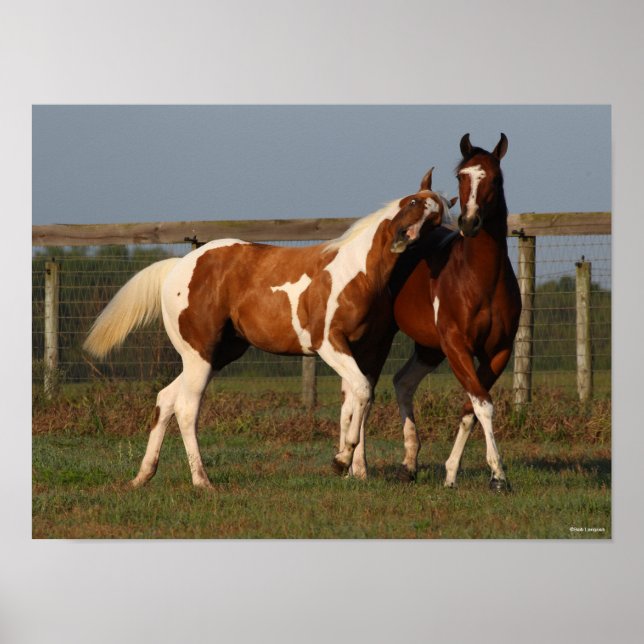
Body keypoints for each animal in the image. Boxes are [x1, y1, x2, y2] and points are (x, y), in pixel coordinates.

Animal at [83, 172, 451, 488]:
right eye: (412, 202)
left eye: (436, 221)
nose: (404, 238)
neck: (357, 273)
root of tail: (179, 266)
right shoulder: (328, 343)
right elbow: (360, 393)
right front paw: (341, 461)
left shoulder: (371, 350)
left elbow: (359, 400)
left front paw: (355, 470)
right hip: (200, 354)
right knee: (187, 408)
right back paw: (202, 482)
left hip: (218, 355)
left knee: (166, 399)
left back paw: (144, 475)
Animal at [389, 133, 521, 491]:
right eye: (461, 176)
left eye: (496, 178)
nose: (470, 222)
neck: (478, 279)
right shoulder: (456, 346)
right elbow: (483, 405)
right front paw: (499, 475)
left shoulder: (498, 351)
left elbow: (471, 408)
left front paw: (451, 473)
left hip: (427, 348)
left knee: (402, 382)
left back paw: (408, 465)